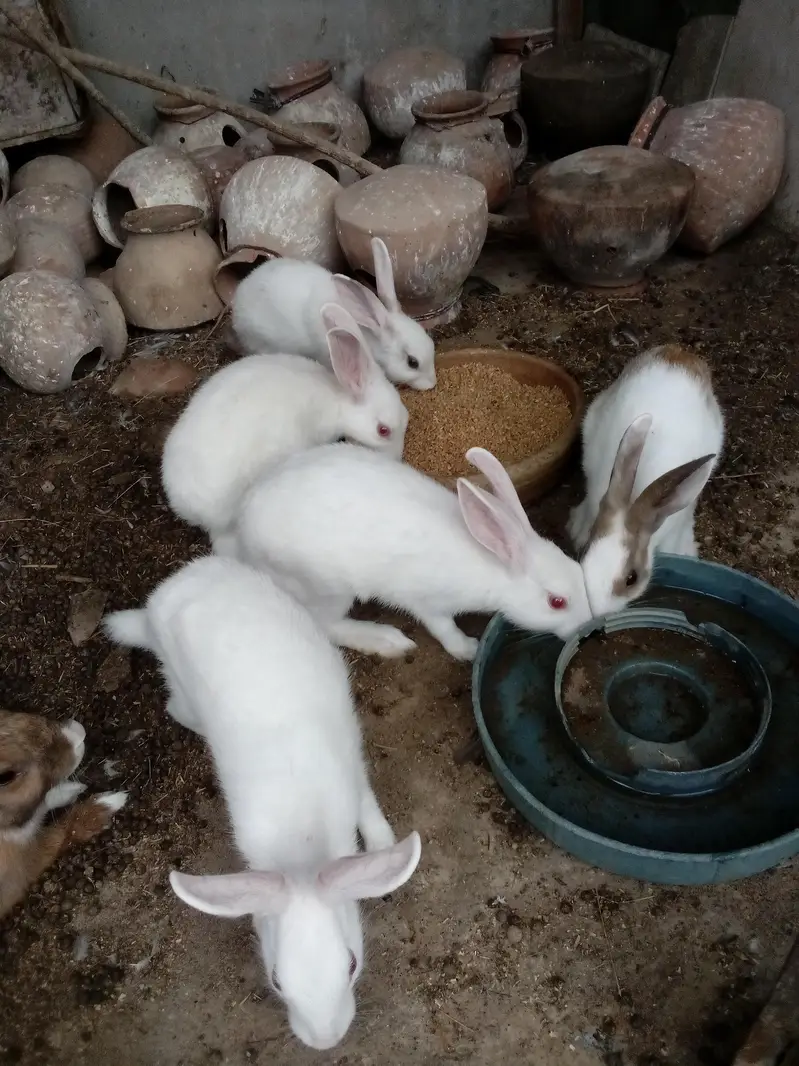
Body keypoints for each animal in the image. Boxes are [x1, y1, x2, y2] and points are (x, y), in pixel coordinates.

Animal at [0, 711, 127, 917]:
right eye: (4, 776)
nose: (78, 732)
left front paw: (71, 790)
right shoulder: (24, 865)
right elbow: (62, 833)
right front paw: (106, 804)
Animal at [104, 555, 421, 1052]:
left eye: (352, 965)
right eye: (276, 981)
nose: (326, 1041)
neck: (303, 853)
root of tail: (164, 597)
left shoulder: (351, 767)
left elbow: (367, 801)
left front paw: (382, 845)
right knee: (178, 710)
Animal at [232, 442, 594, 662]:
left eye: (579, 573)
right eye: (557, 602)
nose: (587, 627)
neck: (493, 563)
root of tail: (244, 525)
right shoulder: (427, 602)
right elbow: (443, 628)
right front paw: (469, 649)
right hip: (328, 587)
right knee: (327, 623)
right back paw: (388, 641)